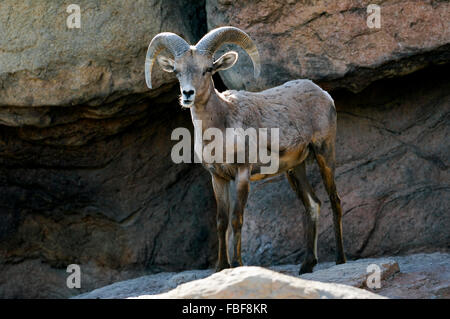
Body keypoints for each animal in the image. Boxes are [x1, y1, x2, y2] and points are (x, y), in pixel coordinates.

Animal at [146, 26, 346, 276]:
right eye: (177, 71)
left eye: (207, 69)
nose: (188, 94)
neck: (220, 128)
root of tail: (323, 94)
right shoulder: (218, 178)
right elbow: (221, 221)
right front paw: (221, 267)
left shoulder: (242, 174)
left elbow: (236, 219)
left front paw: (237, 264)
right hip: (295, 169)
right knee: (313, 204)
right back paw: (307, 265)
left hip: (324, 153)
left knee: (334, 200)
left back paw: (340, 259)